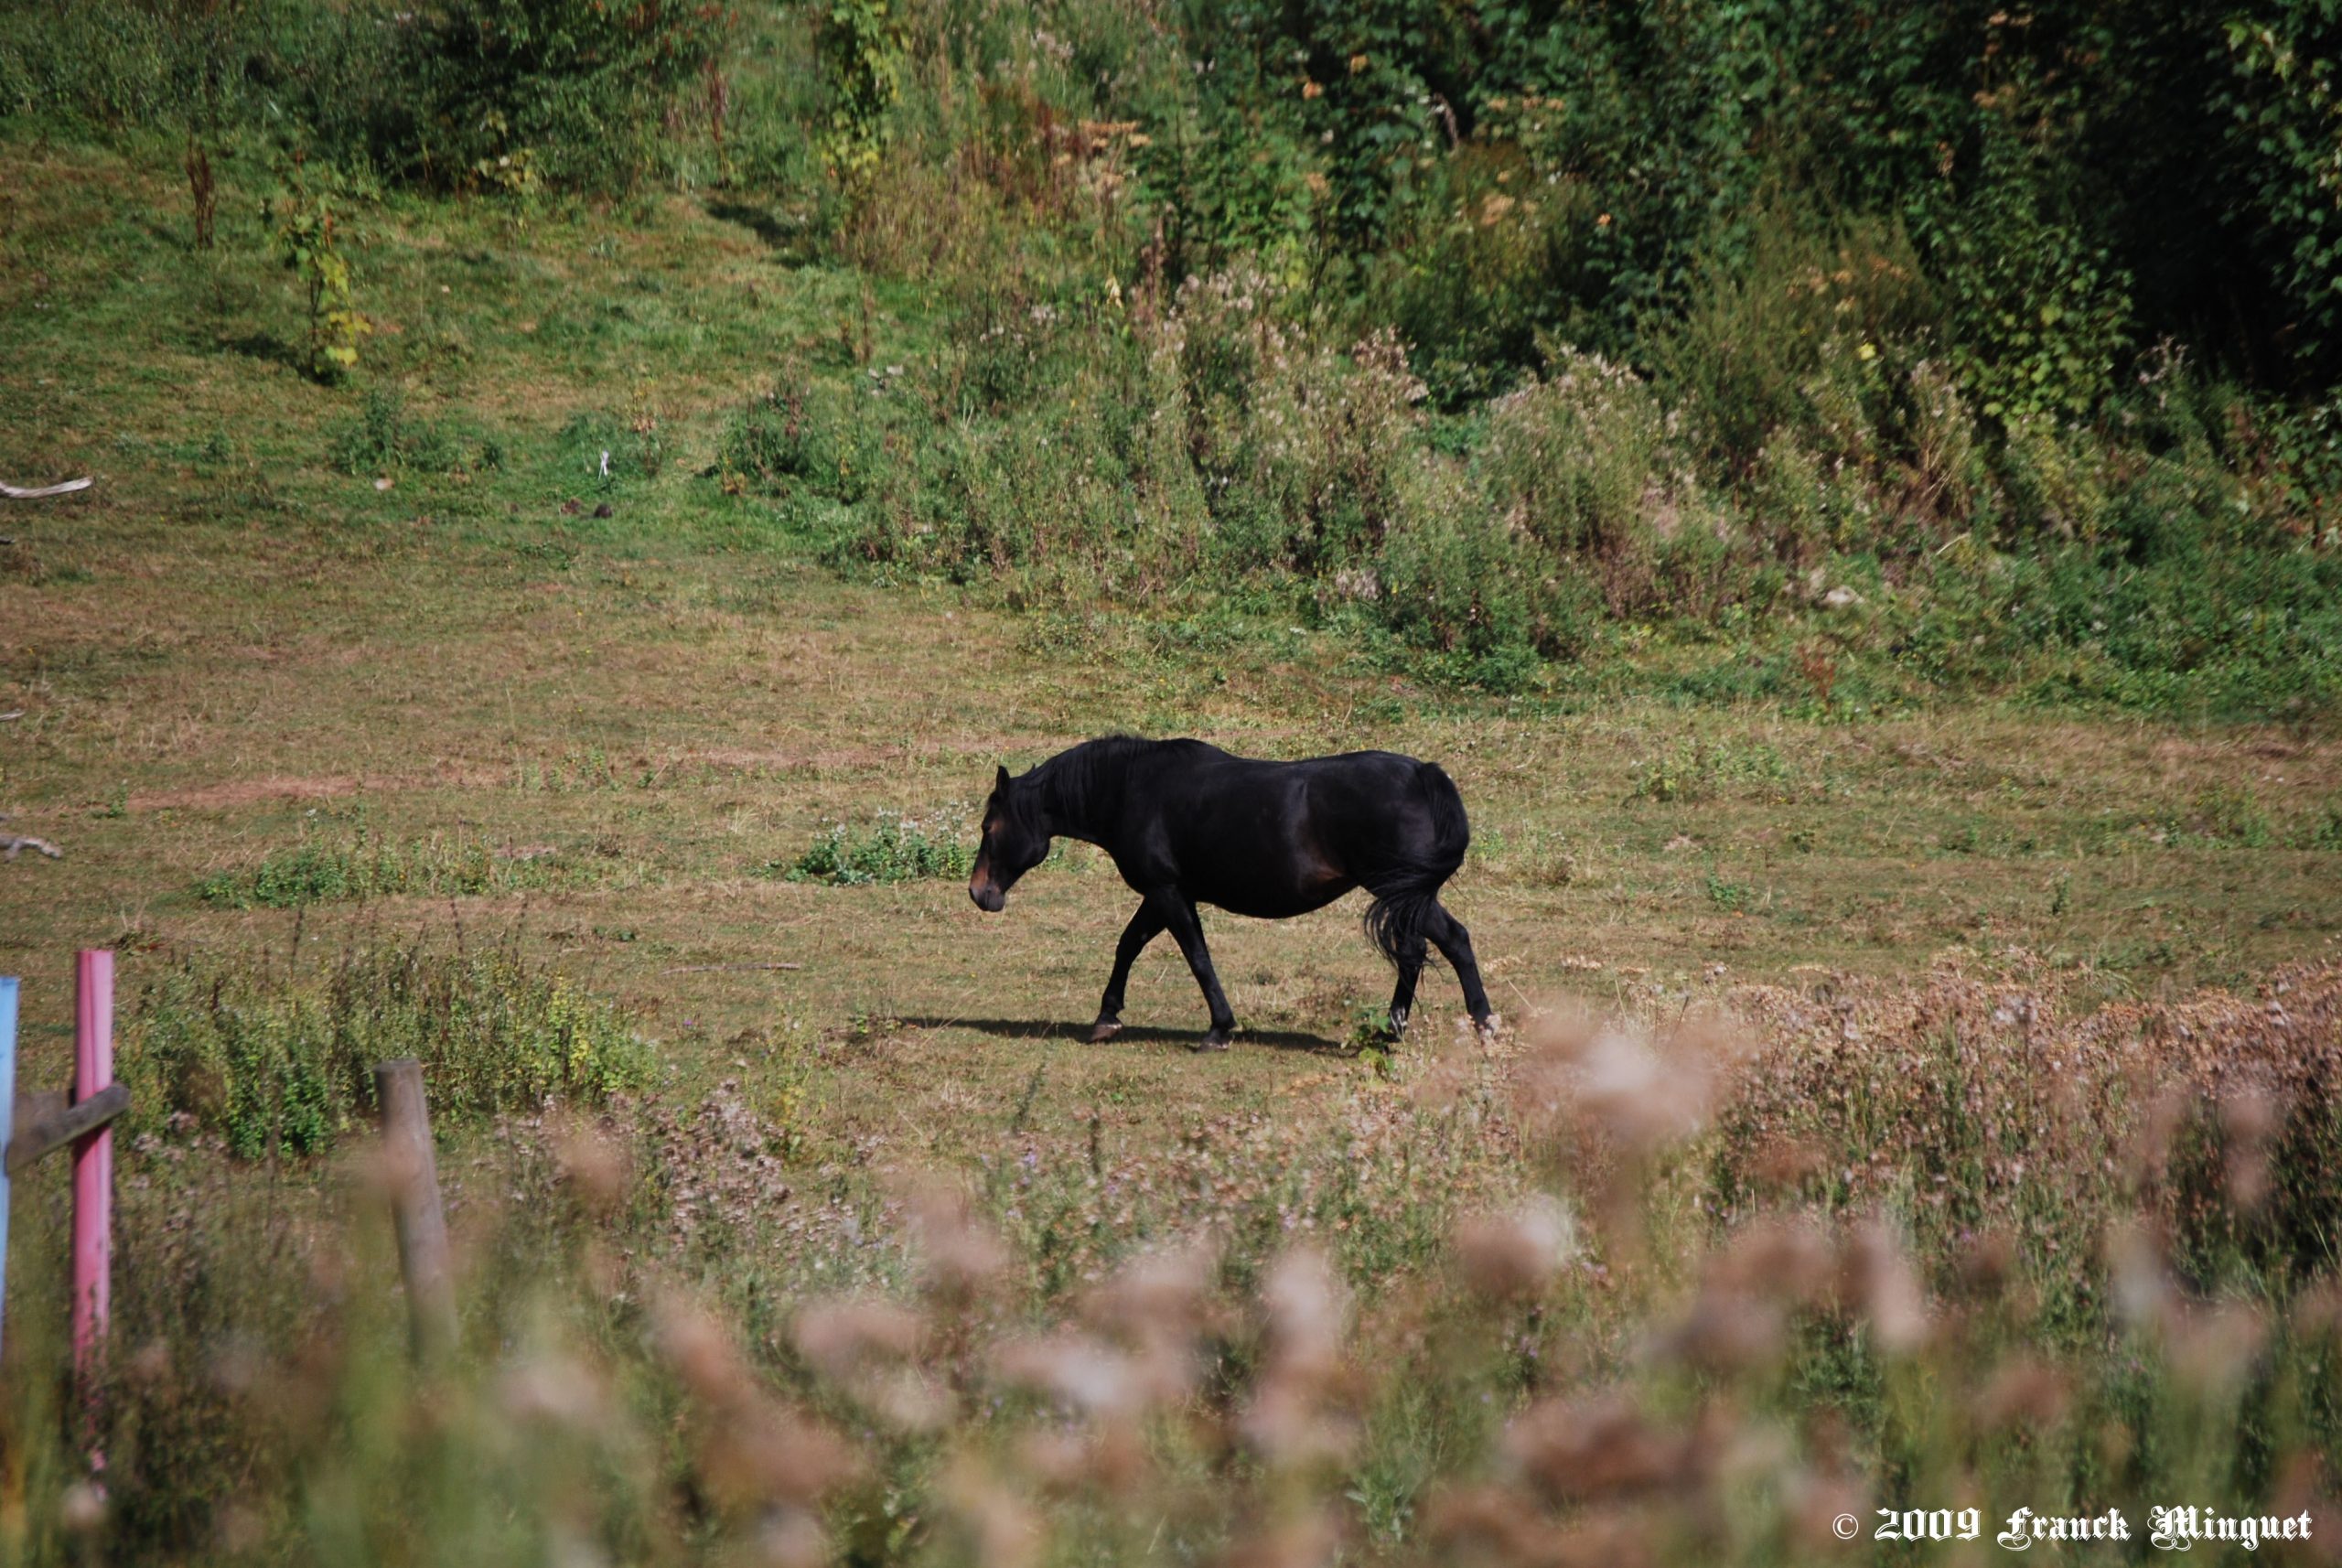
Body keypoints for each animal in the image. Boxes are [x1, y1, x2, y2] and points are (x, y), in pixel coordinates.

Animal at [968, 736, 1493, 1051]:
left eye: (989, 827)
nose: (978, 894)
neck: (1132, 789)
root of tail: (1423, 774)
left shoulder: (1167, 893)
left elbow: (1197, 957)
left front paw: (1219, 1028)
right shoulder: (1164, 893)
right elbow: (1128, 945)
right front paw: (1107, 1017)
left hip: (1398, 890)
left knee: (1437, 945)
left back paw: (1465, 1024)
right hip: (1409, 895)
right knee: (1442, 944)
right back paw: (1424, 1026)